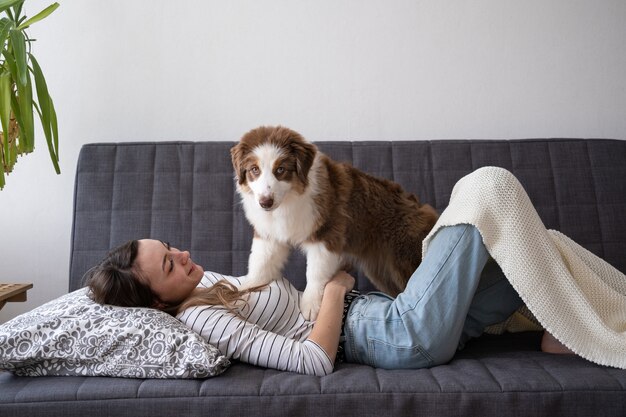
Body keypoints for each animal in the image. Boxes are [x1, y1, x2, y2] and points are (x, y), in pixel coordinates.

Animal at [230, 126, 438, 318]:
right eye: (254, 170)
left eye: (280, 170)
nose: (265, 203)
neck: (290, 199)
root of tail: (419, 206)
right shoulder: (270, 235)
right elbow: (261, 262)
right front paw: (246, 287)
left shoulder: (326, 234)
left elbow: (315, 272)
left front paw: (311, 306)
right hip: (383, 271)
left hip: (405, 260)